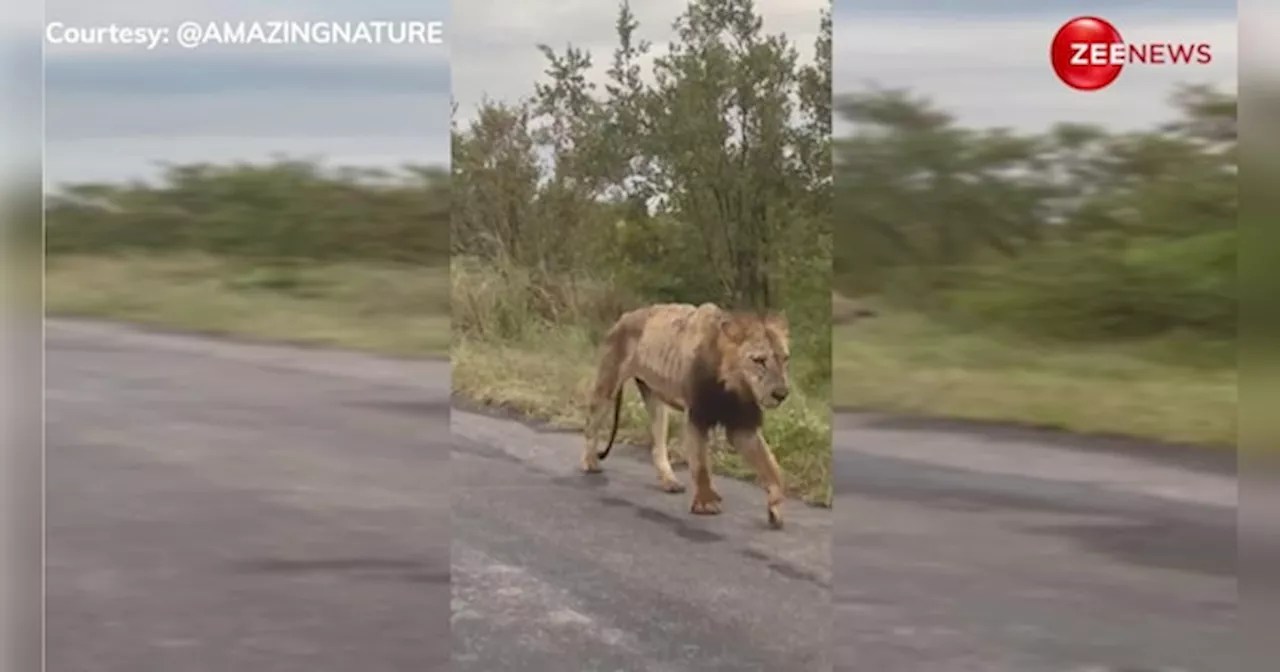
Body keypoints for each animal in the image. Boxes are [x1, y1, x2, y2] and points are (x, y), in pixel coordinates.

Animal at [581, 300, 788, 527]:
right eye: (759, 360)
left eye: (785, 359)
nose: (781, 394)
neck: (733, 385)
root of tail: (624, 316)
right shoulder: (697, 416)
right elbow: (701, 464)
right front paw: (705, 503)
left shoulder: (743, 425)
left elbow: (772, 467)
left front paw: (775, 506)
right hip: (608, 384)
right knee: (591, 424)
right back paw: (590, 462)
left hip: (656, 400)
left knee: (658, 446)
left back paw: (669, 481)